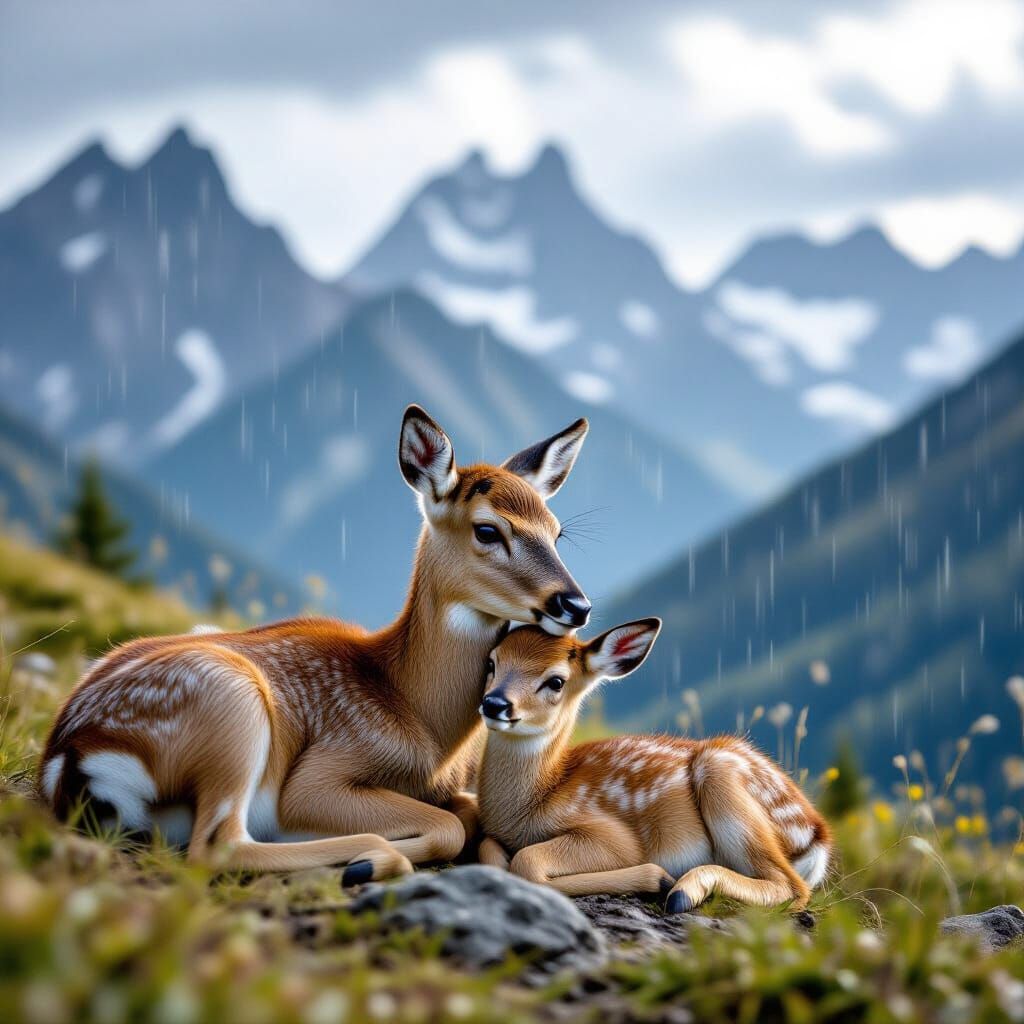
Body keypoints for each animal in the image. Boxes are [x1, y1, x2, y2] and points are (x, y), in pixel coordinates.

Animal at [38, 405, 593, 883]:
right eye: (487, 530)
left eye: (556, 532)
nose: (577, 604)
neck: (422, 719)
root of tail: (71, 762)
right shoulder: (320, 774)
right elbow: (448, 825)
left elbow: (467, 812)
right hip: (232, 707)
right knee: (218, 846)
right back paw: (366, 861)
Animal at [476, 622, 832, 913]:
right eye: (491, 663)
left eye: (556, 681)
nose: (494, 703)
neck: (536, 799)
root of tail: (817, 836)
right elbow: (487, 848)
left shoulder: (609, 832)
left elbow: (527, 861)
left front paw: (656, 878)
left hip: (722, 778)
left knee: (791, 887)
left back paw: (681, 890)